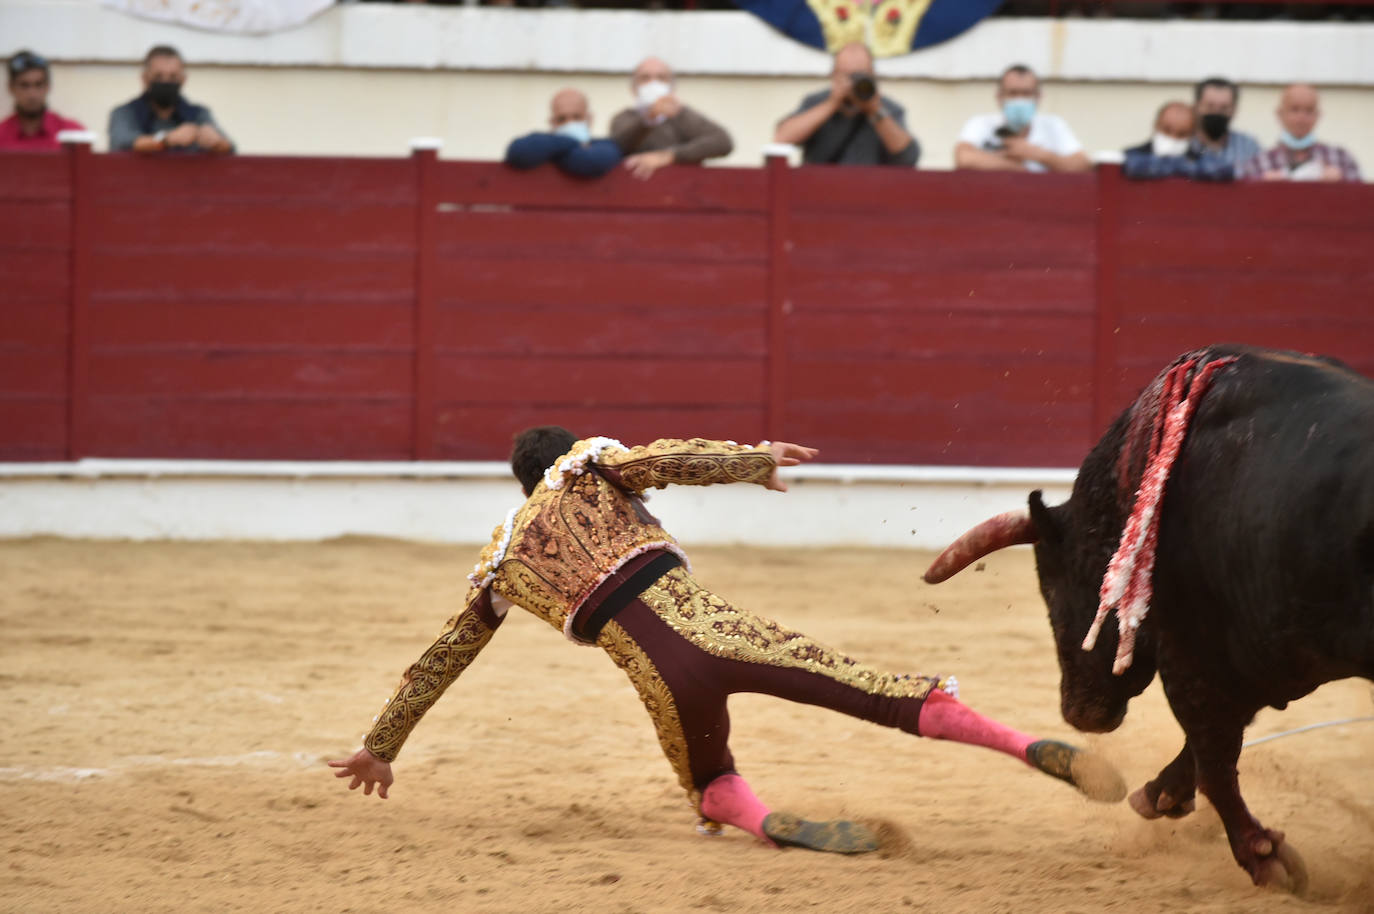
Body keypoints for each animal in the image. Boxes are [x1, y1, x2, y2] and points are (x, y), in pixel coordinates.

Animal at [923, 343, 1374, 890]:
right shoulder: (1265, 652)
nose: (1079, 713)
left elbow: (1215, 751)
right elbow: (1218, 738)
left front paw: (1263, 856)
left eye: (1053, 592)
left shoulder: (1199, 651)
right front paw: (1163, 794)